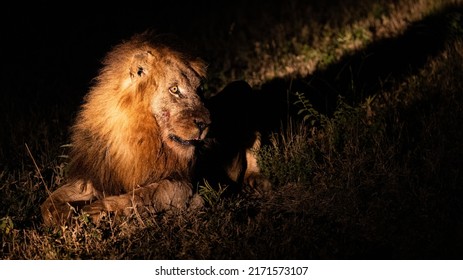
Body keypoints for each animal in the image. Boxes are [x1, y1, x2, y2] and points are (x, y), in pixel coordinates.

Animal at [40, 31, 212, 225]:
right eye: (174, 89)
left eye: (200, 89)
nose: (205, 124)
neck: (142, 137)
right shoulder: (96, 174)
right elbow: (49, 203)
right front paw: (64, 215)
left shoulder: (183, 185)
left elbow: (143, 195)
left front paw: (95, 210)